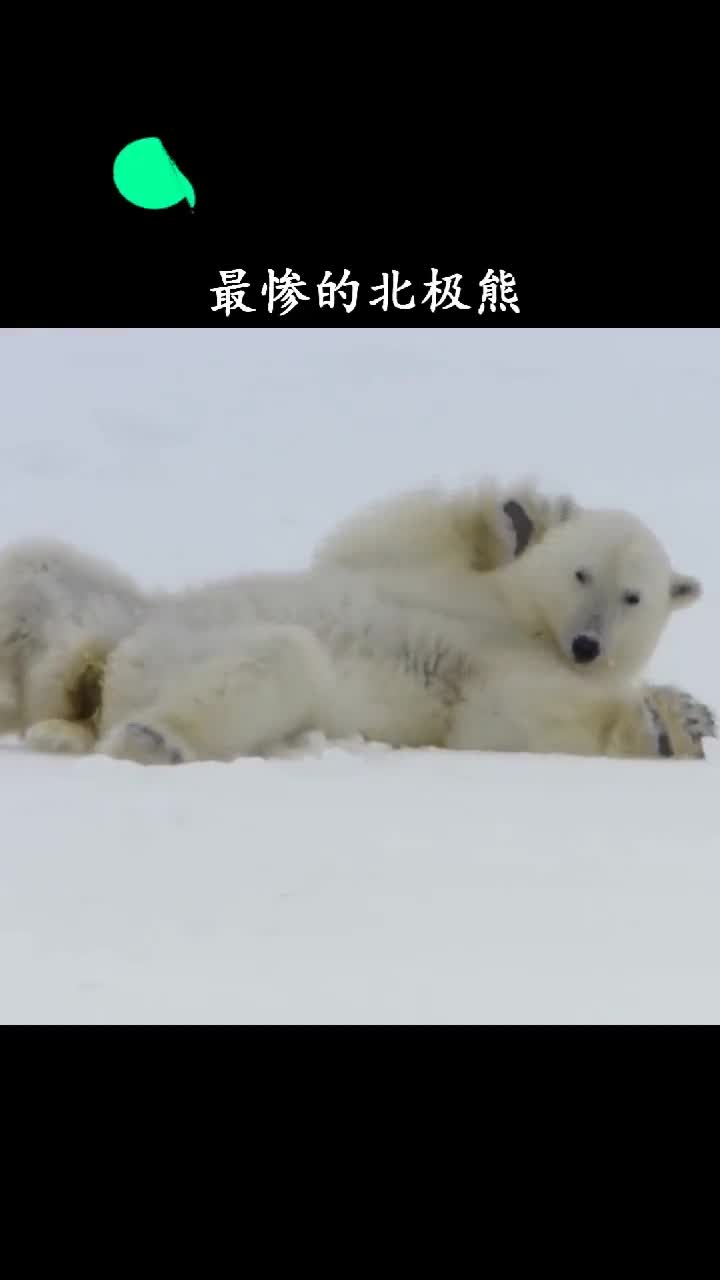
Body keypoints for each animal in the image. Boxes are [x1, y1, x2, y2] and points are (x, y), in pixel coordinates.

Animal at [15, 504, 713, 766]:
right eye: (581, 573)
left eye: (633, 596)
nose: (588, 645)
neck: (523, 619)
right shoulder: (456, 598)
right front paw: (670, 721)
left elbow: (500, 719)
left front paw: (682, 720)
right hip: (165, 650)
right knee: (285, 654)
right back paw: (155, 739)